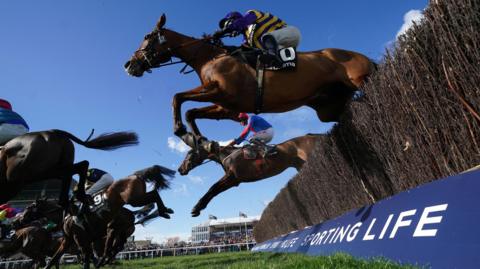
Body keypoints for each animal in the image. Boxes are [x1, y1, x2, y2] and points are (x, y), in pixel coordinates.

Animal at [45, 163, 174, 268]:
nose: (49, 229)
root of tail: (134, 175)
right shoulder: (68, 240)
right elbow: (53, 259)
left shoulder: (80, 239)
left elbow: (87, 258)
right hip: (122, 225)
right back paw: (165, 211)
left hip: (132, 201)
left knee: (154, 194)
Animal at [124, 13, 376, 137]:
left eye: (147, 36)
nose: (129, 64)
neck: (210, 58)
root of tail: (362, 56)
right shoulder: (224, 105)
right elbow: (191, 112)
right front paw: (200, 141)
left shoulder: (221, 90)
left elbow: (177, 97)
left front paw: (179, 129)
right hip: (330, 107)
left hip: (361, 80)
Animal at [175, 131, 318, 217]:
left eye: (189, 154)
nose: (180, 169)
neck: (227, 155)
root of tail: (313, 135)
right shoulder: (233, 181)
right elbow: (214, 190)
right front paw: (199, 207)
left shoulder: (232, 178)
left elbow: (213, 188)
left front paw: (196, 207)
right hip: (300, 165)